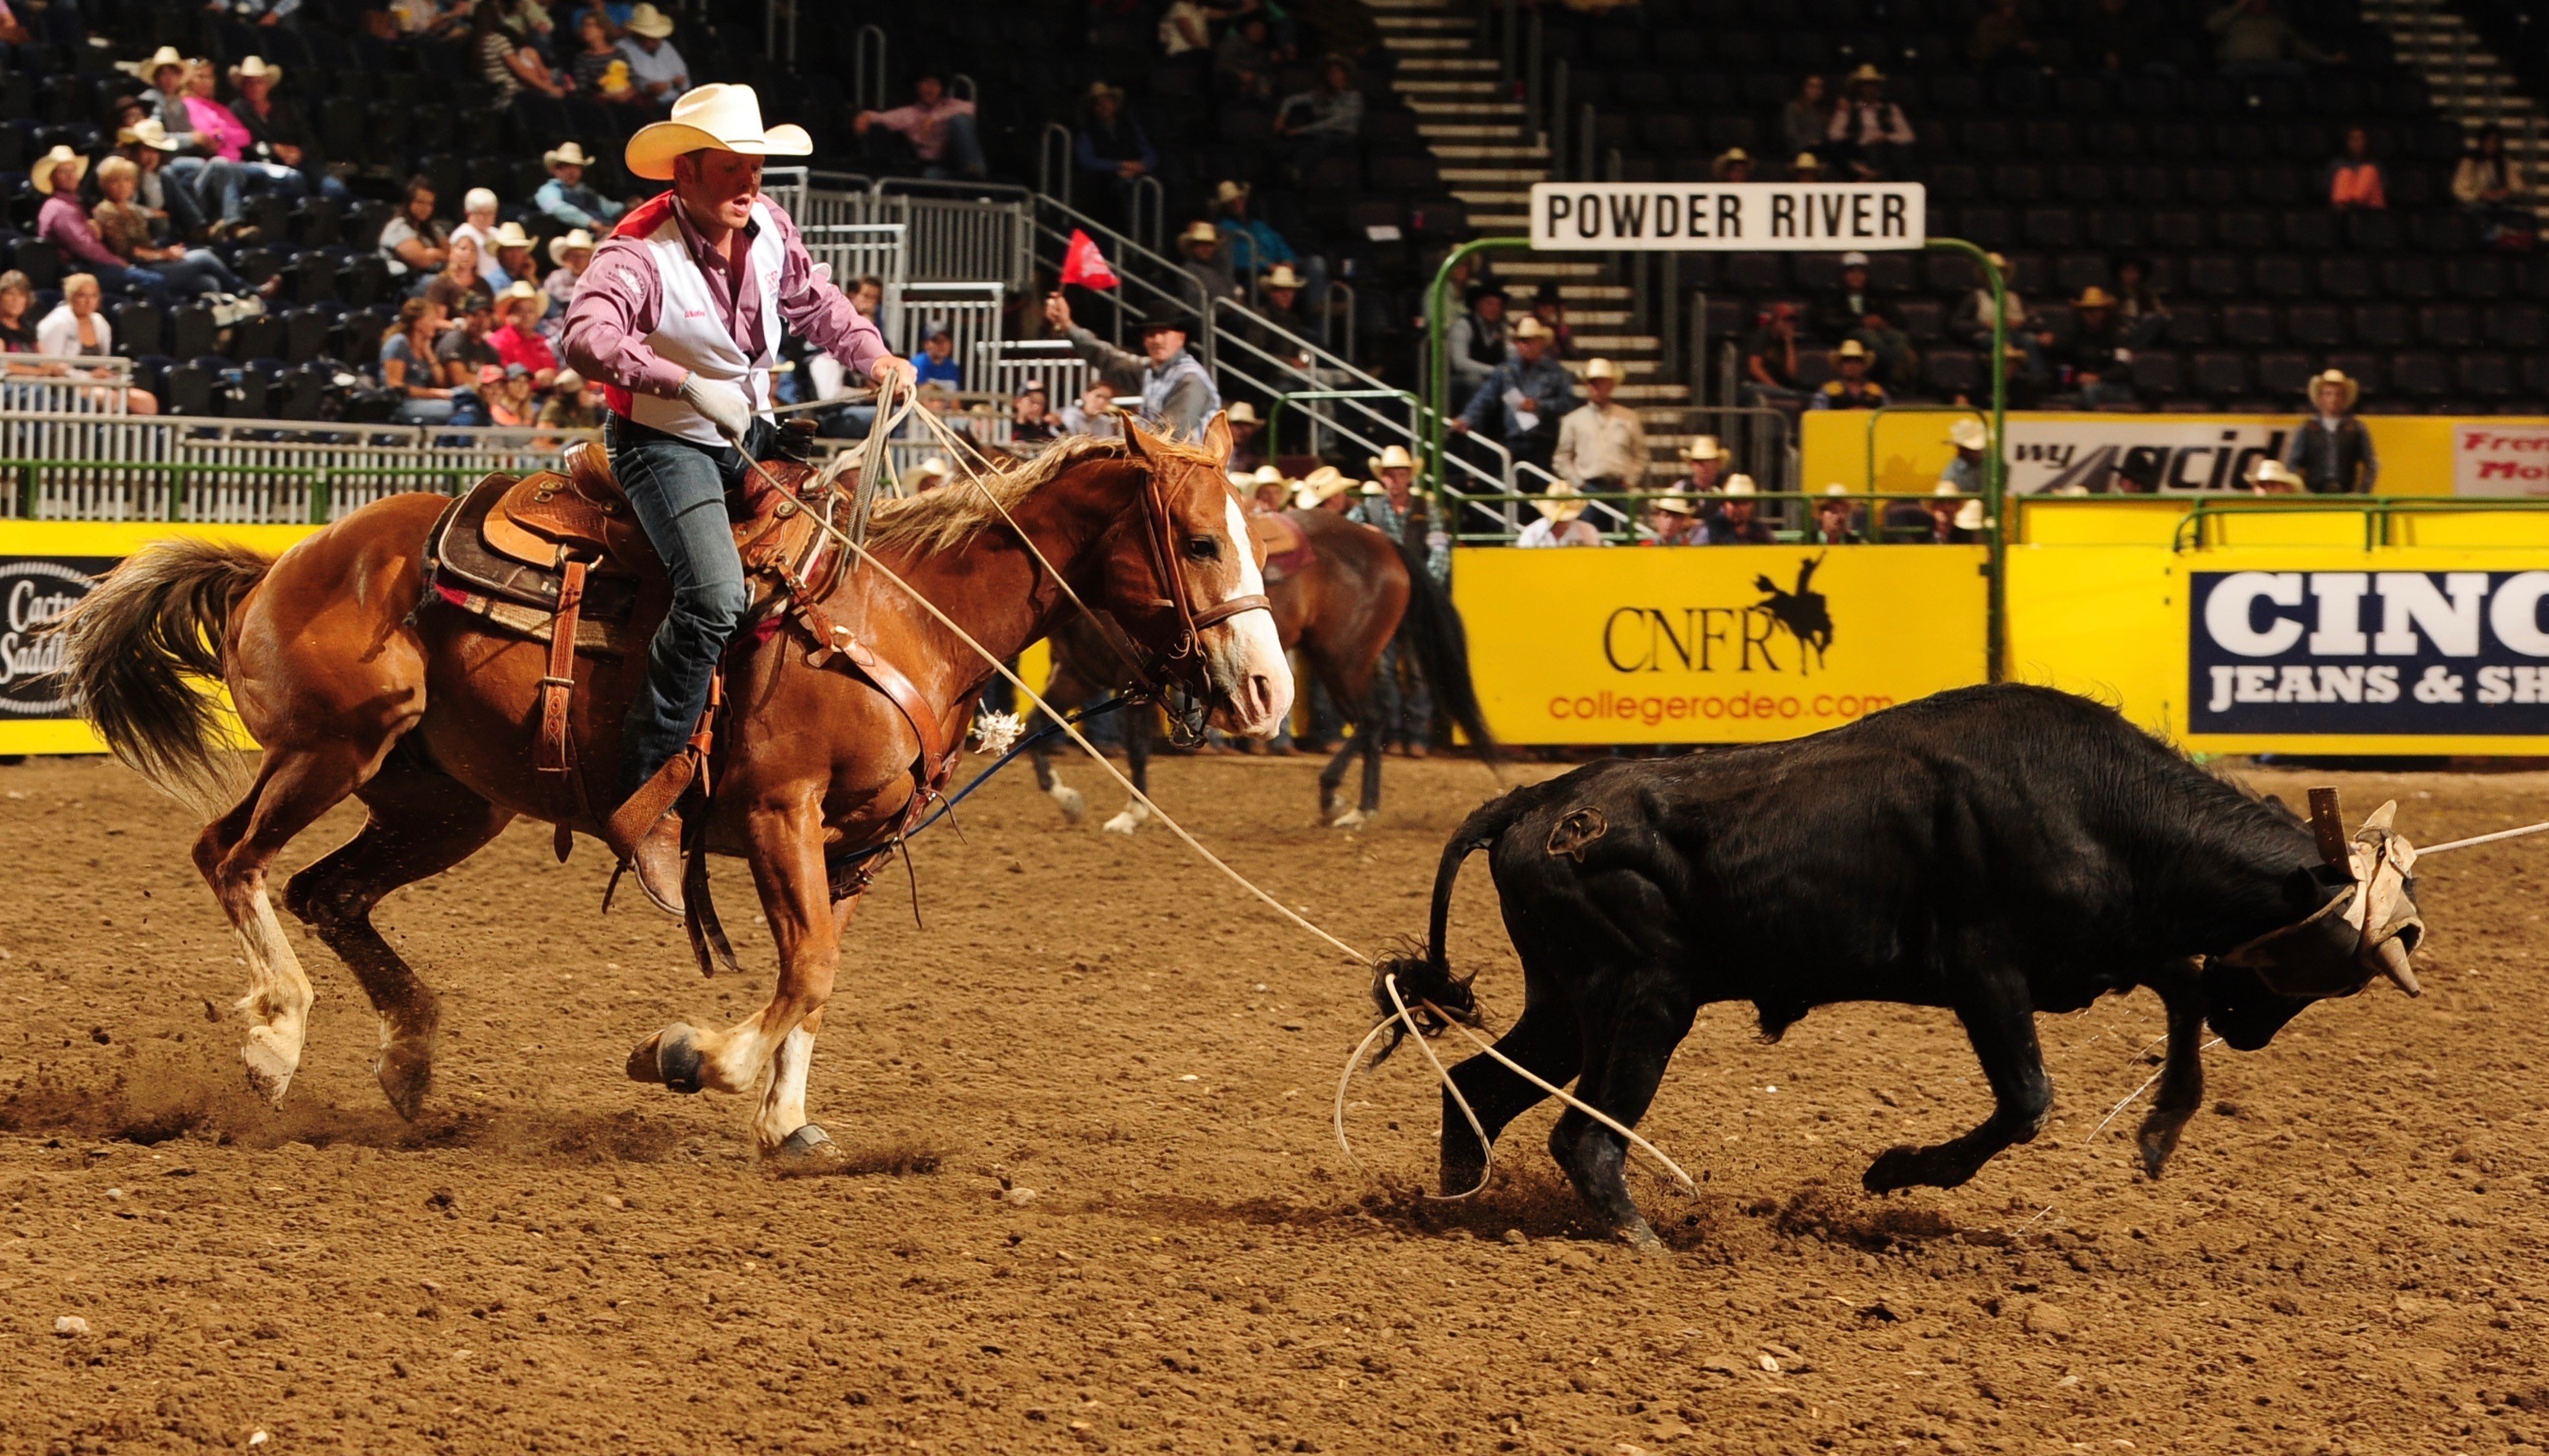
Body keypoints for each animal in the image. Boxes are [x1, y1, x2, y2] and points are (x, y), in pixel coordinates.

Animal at [59, 415, 1295, 1158]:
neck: (899, 611)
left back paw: (408, 1058)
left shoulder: (855, 845)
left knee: (330, 892)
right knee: (233, 858)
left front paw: (788, 1124)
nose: (1269, 690)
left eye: (1254, 536)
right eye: (1197, 541)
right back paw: (275, 1039)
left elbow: (818, 976)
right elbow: (805, 969)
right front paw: (698, 1056)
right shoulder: (779, 813)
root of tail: (284, 561)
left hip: (446, 801)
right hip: (335, 745)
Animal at [1019, 510, 1488, 831]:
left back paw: (1346, 802)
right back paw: (1354, 805)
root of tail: (1385, 543)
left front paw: (1132, 815)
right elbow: (1035, 728)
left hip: (1342, 659)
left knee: (1372, 719)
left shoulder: (1132, 681)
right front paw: (1066, 798)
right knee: (1374, 721)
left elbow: (1135, 748)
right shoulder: (1078, 675)